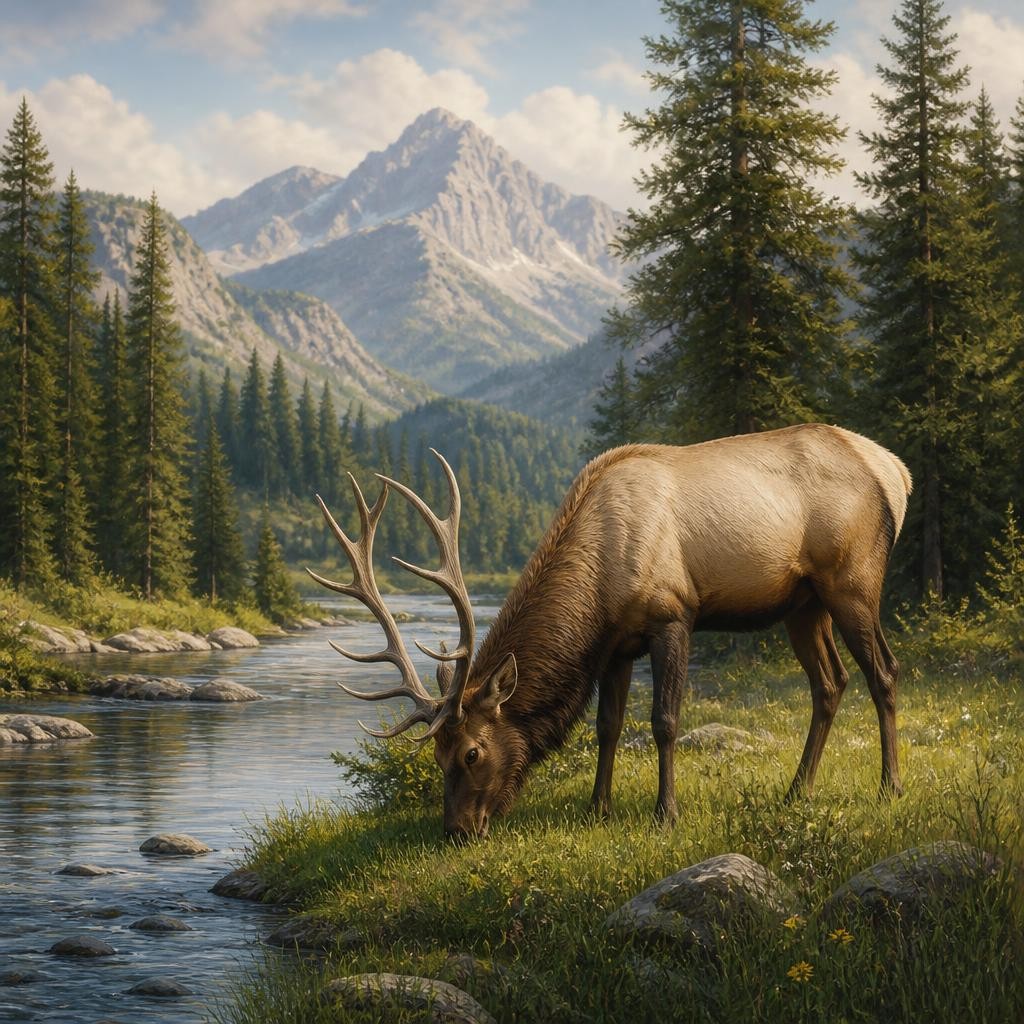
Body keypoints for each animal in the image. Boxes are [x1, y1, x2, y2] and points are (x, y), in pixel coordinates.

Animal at [309, 422, 912, 841]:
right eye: (435, 756)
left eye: (472, 753)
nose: (456, 830)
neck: (600, 585)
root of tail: (896, 472)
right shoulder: (617, 646)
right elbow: (608, 726)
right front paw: (598, 807)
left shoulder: (673, 616)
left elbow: (664, 722)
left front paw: (666, 813)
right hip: (803, 605)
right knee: (829, 682)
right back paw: (795, 790)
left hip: (852, 581)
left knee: (884, 671)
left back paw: (889, 787)